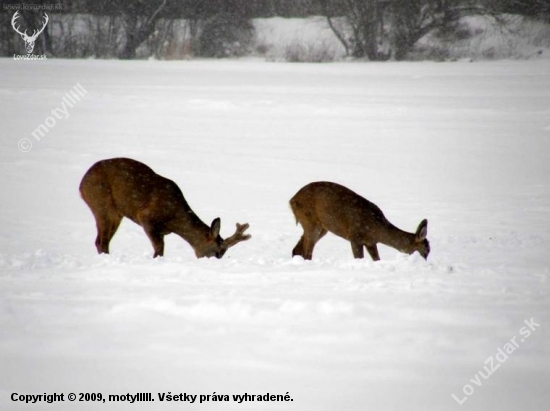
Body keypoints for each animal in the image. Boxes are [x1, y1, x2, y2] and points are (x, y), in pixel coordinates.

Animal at [80, 159, 252, 260]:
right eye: (218, 252)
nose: (217, 260)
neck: (174, 220)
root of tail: (81, 185)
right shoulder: (146, 218)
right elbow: (159, 249)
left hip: (116, 213)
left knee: (101, 241)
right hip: (102, 204)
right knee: (102, 241)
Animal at [288, 183, 432, 260]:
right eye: (426, 250)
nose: (425, 262)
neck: (377, 230)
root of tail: (292, 200)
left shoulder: (371, 242)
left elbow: (377, 259)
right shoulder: (355, 236)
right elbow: (359, 258)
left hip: (323, 227)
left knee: (297, 249)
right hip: (310, 221)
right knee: (307, 252)